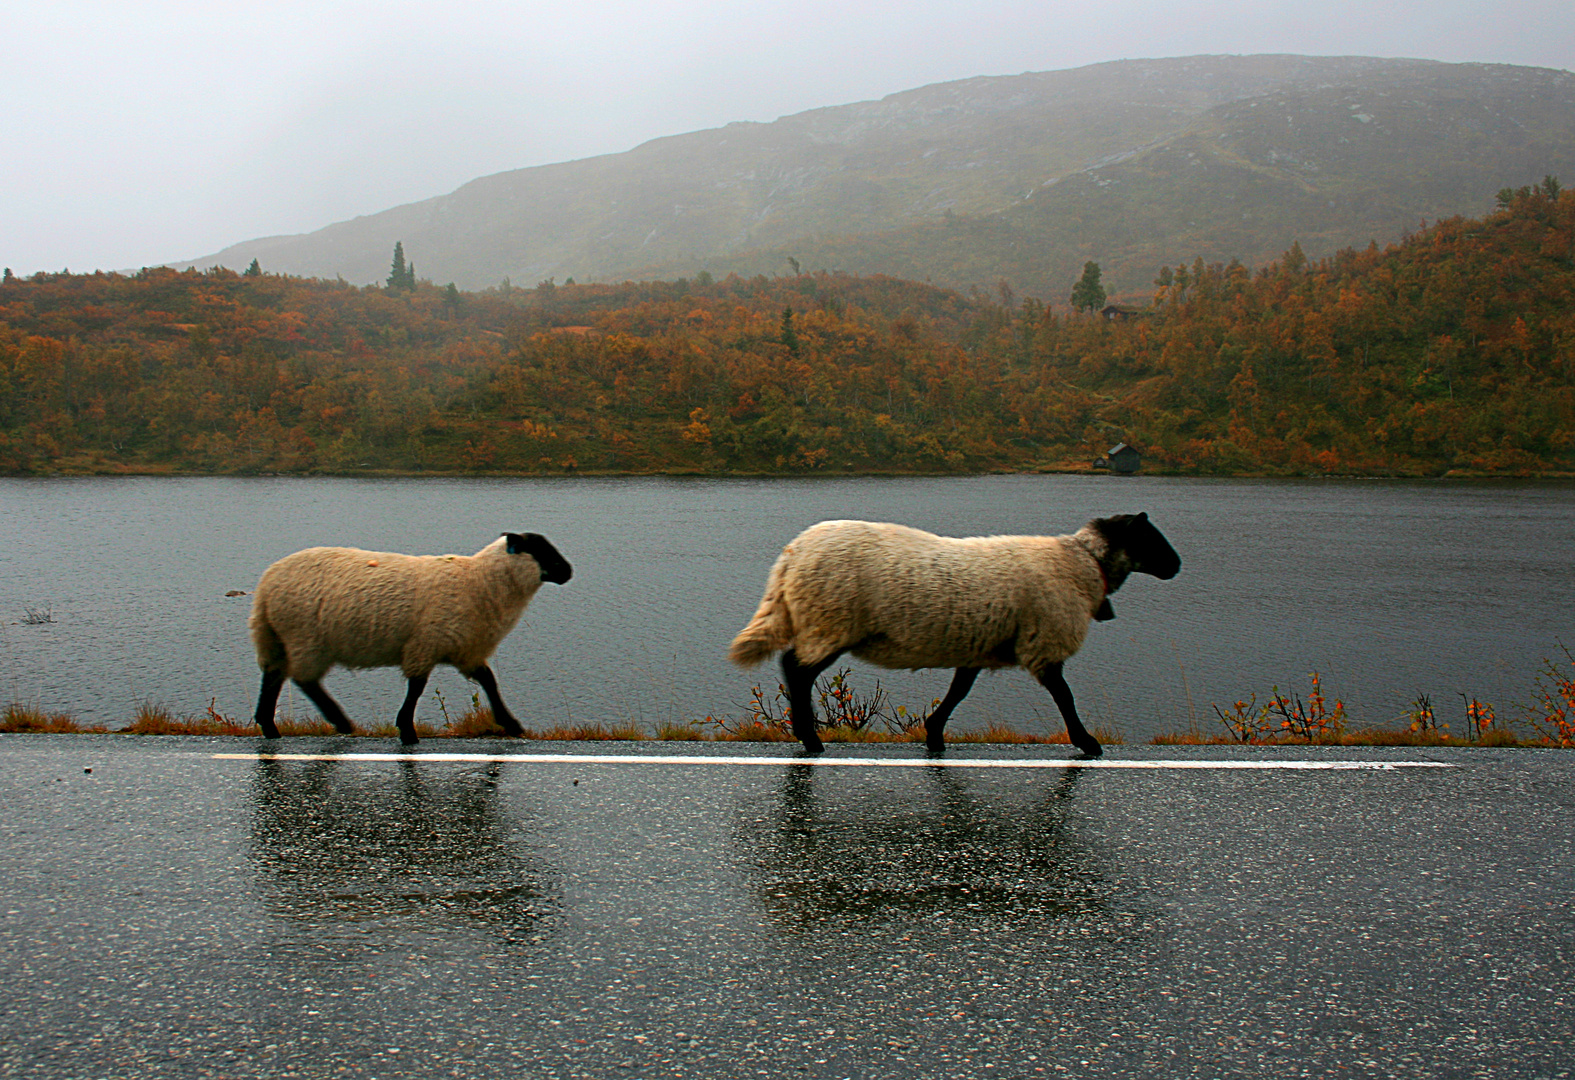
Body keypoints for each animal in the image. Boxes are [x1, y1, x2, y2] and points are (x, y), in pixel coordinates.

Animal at [242, 532, 570, 743]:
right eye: (539, 549)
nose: (568, 571)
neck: (479, 580)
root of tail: (267, 585)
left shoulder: (464, 650)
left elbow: (488, 681)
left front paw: (510, 723)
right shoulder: (425, 644)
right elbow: (417, 688)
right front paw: (407, 732)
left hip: (276, 637)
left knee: (273, 676)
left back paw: (269, 727)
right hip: (306, 638)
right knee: (304, 680)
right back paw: (340, 721)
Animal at [730, 513, 1178, 758]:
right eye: (1149, 536)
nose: (1176, 565)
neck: (1084, 566)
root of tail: (793, 554)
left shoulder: (979, 645)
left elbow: (958, 692)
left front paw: (934, 735)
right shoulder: (1043, 643)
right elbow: (1064, 697)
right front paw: (1087, 743)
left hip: (824, 621)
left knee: (795, 668)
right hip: (831, 622)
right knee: (796, 669)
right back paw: (810, 739)